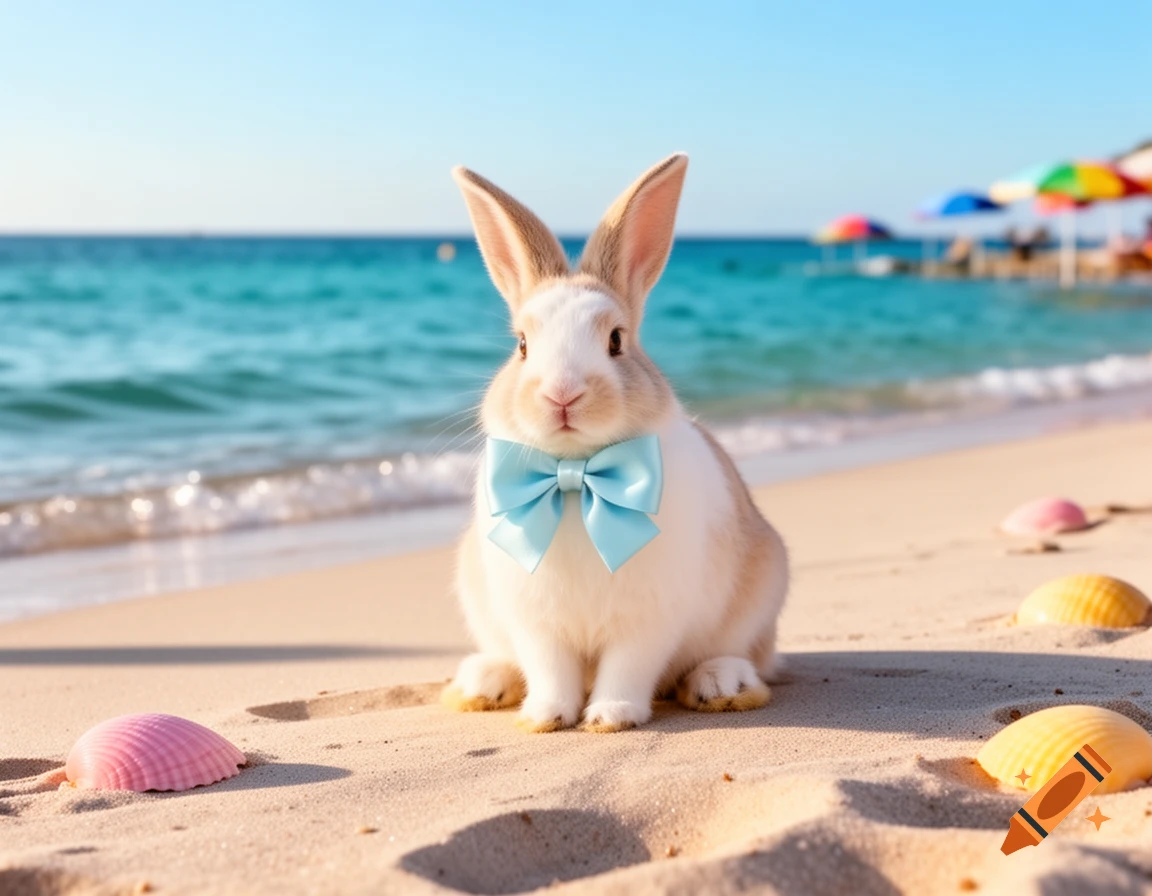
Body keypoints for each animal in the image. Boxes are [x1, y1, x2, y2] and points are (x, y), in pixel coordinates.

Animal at [441, 153, 789, 732]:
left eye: (615, 341)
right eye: (522, 346)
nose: (562, 394)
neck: (575, 476)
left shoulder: (647, 619)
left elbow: (629, 666)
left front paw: (609, 717)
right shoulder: (535, 621)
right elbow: (550, 669)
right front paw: (547, 717)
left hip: (760, 593)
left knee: (748, 655)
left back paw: (721, 685)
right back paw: (481, 683)